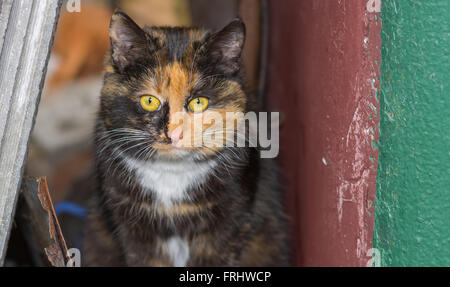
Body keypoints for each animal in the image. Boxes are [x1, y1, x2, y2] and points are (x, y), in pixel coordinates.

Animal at [82, 10, 290, 268]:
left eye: (198, 102)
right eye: (149, 101)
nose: (174, 133)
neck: (171, 176)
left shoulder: (227, 222)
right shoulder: (131, 225)